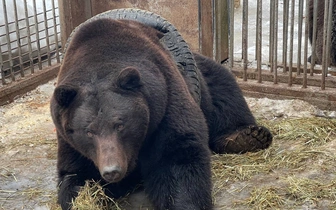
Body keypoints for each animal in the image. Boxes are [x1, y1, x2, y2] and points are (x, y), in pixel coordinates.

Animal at [50, 9, 272, 210]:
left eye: (120, 124)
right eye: (88, 131)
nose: (112, 170)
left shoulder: (164, 100)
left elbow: (176, 158)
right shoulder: (71, 140)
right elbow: (76, 175)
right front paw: (86, 197)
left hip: (202, 78)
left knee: (223, 90)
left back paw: (248, 136)